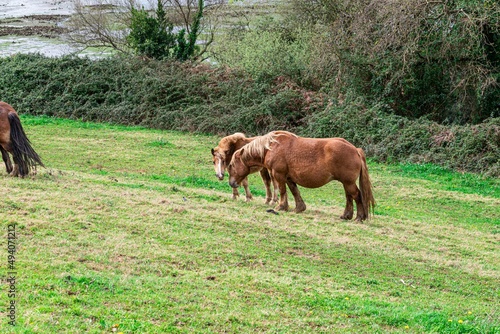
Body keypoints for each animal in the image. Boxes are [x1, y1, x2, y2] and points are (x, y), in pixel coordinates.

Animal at [227, 131, 376, 222]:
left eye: (231, 165)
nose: (231, 183)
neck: (271, 146)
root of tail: (355, 150)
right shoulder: (289, 178)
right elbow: (295, 191)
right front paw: (299, 208)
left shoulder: (279, 175)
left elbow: (283, 191)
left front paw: (281, 207)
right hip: (346, 183)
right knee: (349, 197)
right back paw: (346, 215)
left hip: (348, 182)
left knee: (357, 196)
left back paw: (359, 217)